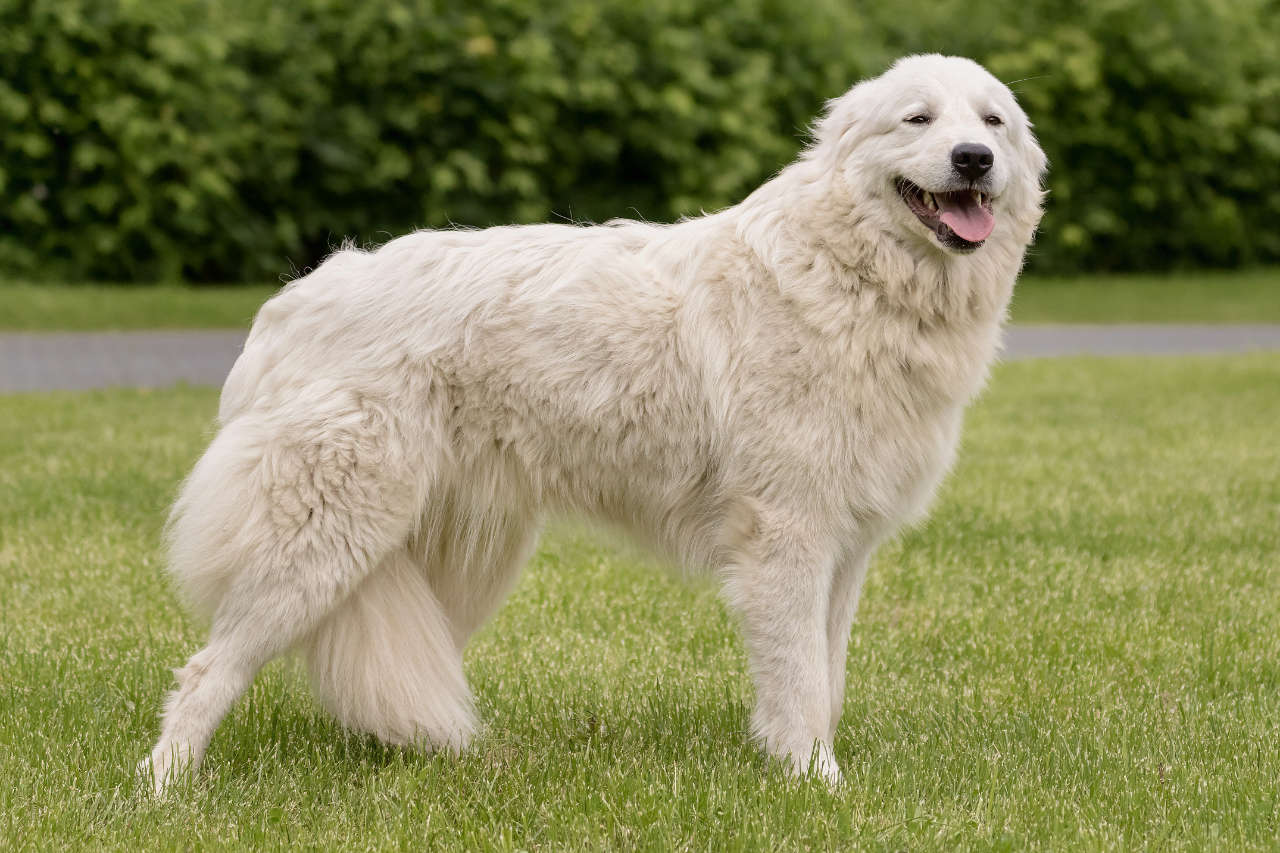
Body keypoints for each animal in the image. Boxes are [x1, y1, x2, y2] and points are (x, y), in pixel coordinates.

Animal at [140, 54, 1044, 788]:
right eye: (918, 119)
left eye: (991, 122)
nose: (974, 159)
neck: (853, 275)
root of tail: (292, 300)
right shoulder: (786, 538)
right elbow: (799, 676)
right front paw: (815, 781)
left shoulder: (842, 548)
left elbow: (827, 673)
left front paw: (804, 765)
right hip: (326, 535)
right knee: (208, 669)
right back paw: (166, 787)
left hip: (444, 558)